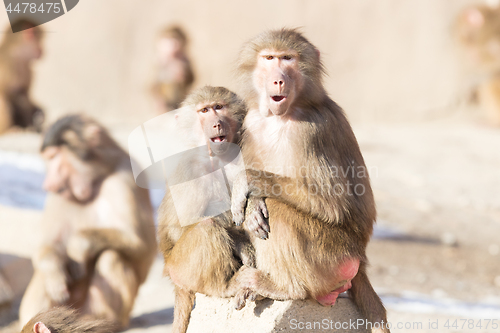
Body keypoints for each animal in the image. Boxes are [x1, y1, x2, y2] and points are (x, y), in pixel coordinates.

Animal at [19, 114, 156, 330]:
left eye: (55, 156)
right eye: (49, 159)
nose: (47, 184)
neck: (96, 177)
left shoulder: (125, 177)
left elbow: (144, 245)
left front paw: (77, 248)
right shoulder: (58, 195)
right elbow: (49, 244)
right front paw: (55, 273)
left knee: (111, 256)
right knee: (45, 269)